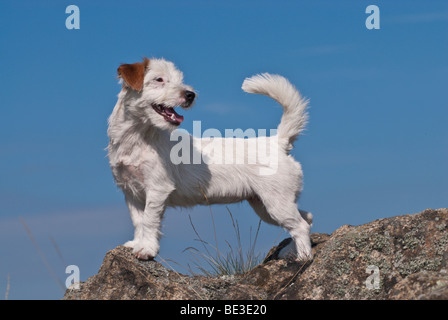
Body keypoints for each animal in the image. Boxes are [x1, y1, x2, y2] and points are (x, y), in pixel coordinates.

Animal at [107, 58, 314, 260]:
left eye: (179, 79)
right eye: (159, 79)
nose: (190, 94)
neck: (138, 138)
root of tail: (278, 141)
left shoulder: (157, 188)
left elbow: (149, 220)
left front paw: (147, 249)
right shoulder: (131, 193)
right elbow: (138, 221)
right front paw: (137, 243)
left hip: (276, 202)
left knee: (300, 225)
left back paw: (303, 257)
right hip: (265, 206)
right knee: (307, 218)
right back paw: (291, 251)